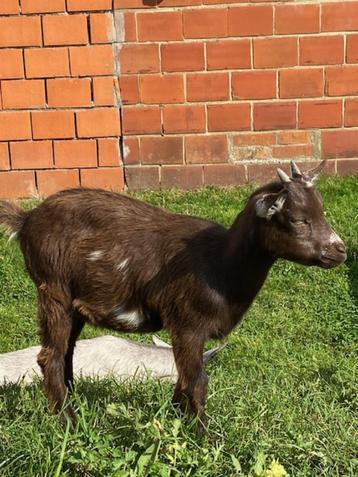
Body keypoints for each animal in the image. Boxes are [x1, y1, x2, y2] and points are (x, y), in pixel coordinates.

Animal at [0, 161, 346, 428]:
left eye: (322, 211)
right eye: (298, 219)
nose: (340, 250)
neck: (220, 264)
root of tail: (27, 220)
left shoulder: (187, 331)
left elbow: (183, 377)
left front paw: (176, 418)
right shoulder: (187, 323)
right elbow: (197, 381)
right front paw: (205, 436)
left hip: (73, 304)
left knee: (66, 353)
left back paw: (76, 406)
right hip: (52, 290)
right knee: (50, 357)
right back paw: (68, 421)